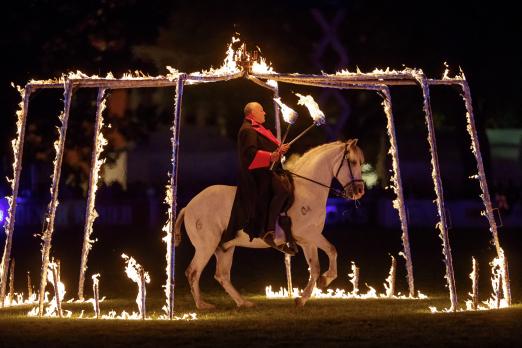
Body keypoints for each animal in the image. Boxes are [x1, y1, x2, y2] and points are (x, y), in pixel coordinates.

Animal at [174, 139, 362, 308]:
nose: (359, 191)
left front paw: (302, 299)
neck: (308, 190)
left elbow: (316, 267)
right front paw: (326, 279)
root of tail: (189, 206)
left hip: (224, 247)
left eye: (360, 162)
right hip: (206, 246)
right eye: (353, 162)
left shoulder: (308, 241)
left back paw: (243, 303)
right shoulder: (309, 235)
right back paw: (202, 305)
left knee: (222, 275)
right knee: (193, 272)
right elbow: (332, 250)